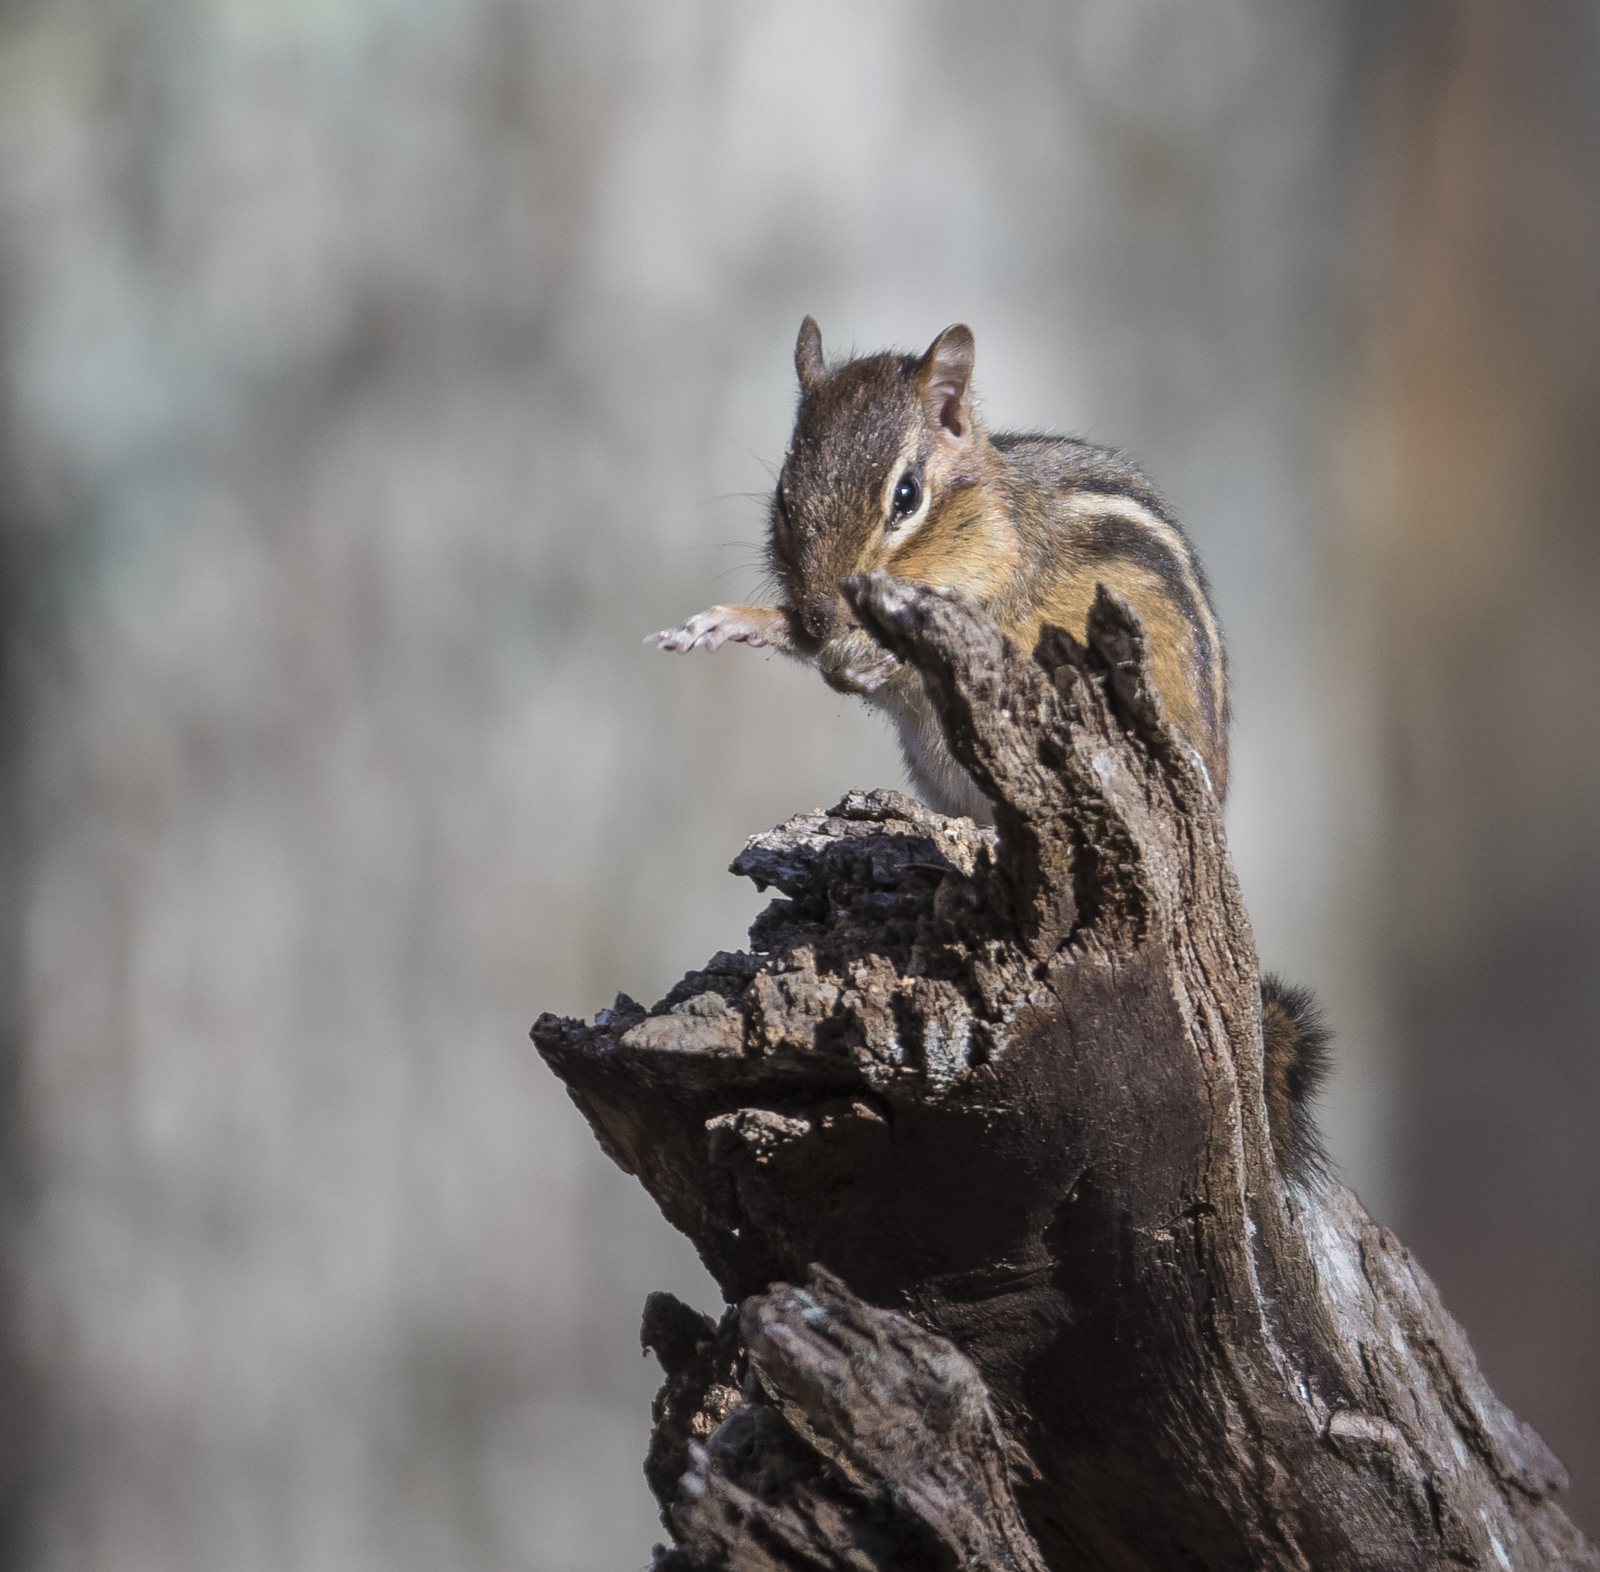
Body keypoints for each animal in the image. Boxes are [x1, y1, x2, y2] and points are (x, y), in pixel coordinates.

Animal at [651, 318, 1329, 1181]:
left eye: (906, 496)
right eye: (782, 495)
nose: (817, 615)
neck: (988, 517)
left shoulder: (1000, 608)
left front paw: (862, 660)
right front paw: (734, 624)